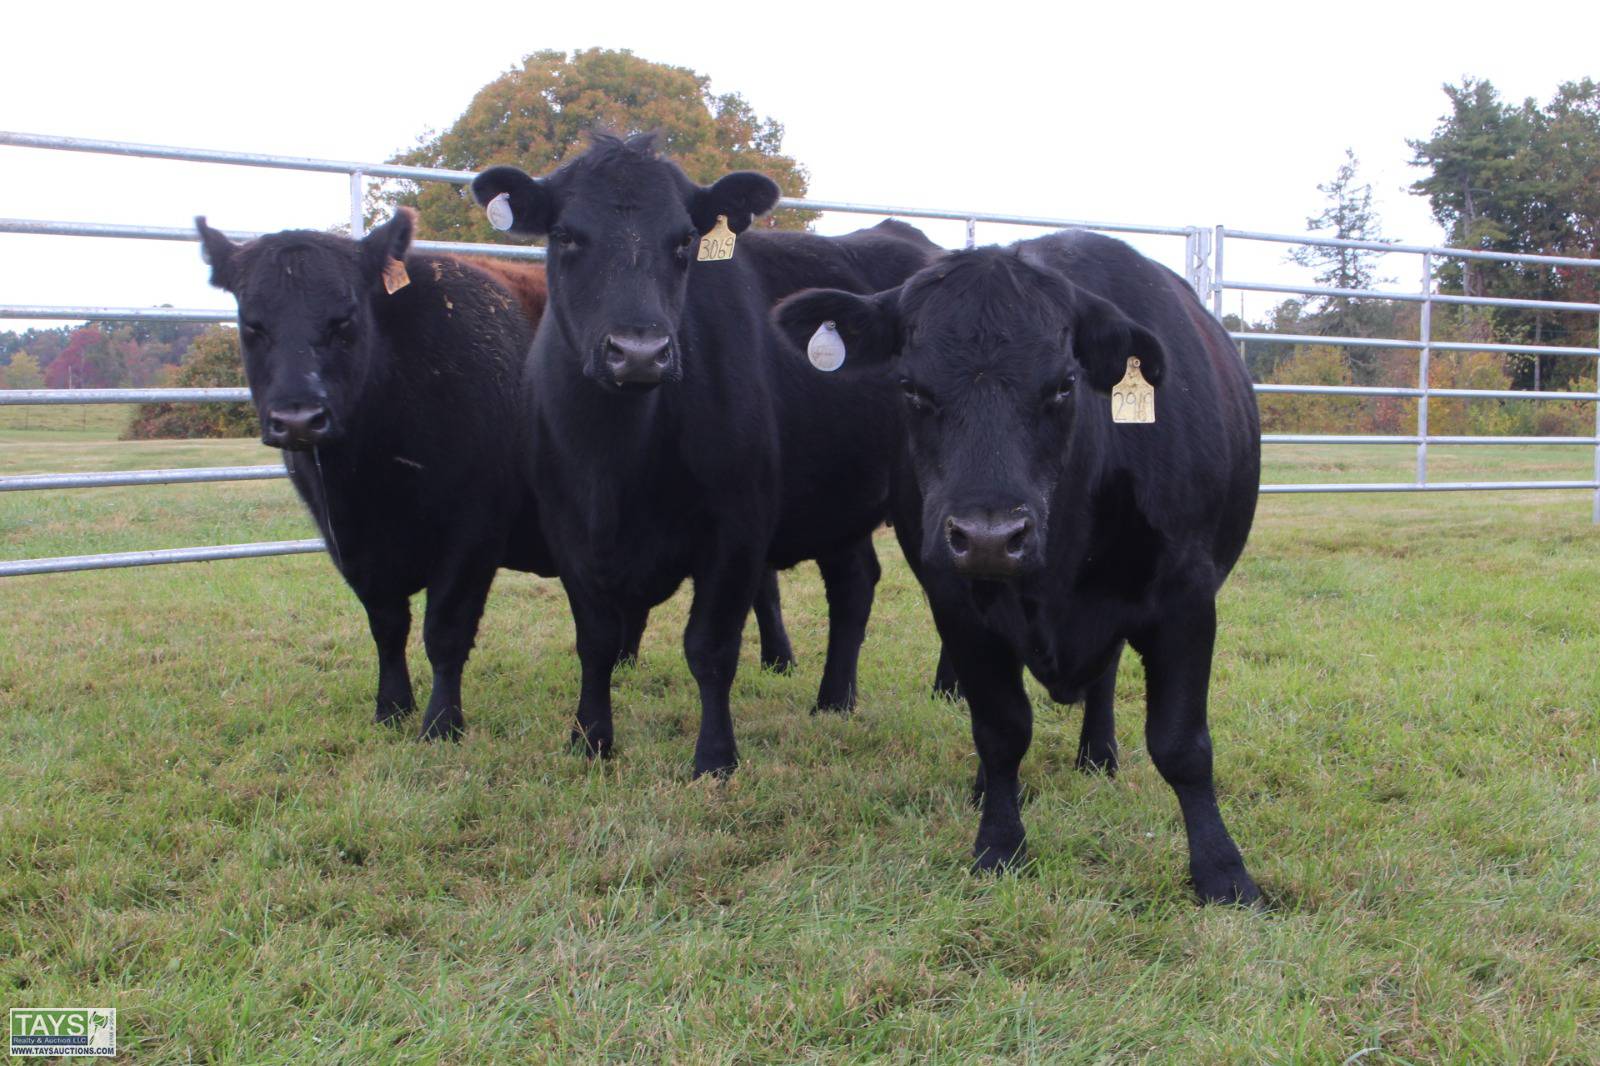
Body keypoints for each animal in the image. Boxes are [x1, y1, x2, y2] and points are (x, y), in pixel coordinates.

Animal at [469, 132, 943, 777]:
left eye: (685, 240)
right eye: (565, 235)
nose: (639, 352)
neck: (615, 462)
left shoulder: (737, 525)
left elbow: (710, 647)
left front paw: (715, 758)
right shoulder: (568, 527)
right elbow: (595, 639)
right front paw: (590, 740)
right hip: (838, 492)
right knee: (854, 583)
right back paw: (833, 701)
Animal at [774, 229, 1262, 905]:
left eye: (1063, 385)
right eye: (911, 388)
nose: (988, 537)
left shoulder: (1186, 598)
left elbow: (1182, 744)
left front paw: (1223, 871)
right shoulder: (956, 603)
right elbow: (1001, 729)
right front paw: (999, 843)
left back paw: (1098, 756)